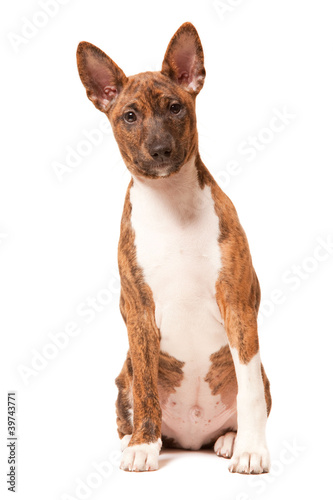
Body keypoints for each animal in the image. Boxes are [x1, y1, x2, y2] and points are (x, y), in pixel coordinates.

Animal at [77, 21, 270, 474]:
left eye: (175, 108)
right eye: (129, 116)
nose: (160, 150)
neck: (171, 205)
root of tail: (193, 438)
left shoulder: (238, 305)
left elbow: (249, 390)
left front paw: (252, 450)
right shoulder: (139, 312)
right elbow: (147, 386)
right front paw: (143, 447)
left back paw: (231, 440)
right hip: (123, 374)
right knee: (132, 400)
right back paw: (138, 439)